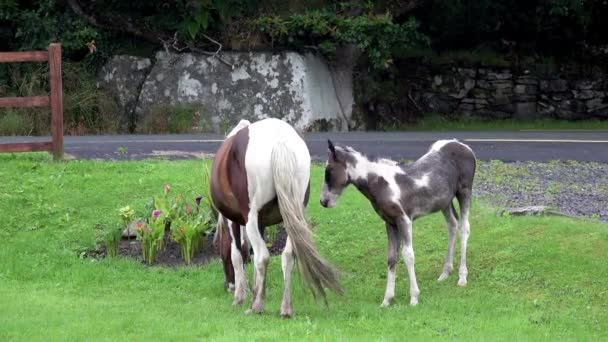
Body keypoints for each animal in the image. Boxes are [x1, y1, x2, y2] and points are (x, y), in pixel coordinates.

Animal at [210, 119, 342, 316]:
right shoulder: (261, 223)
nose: (228, 285)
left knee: (263, 256)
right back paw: (285, 308)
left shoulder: (234, 221)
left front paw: (240, 297)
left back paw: (257, 307)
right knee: (287, 256)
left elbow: (237, 255)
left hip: (252, 218)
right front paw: (254, 292)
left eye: (218, 249)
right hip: (293, 217)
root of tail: (280, 142)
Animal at [318, 139, 476, 308]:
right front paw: (387, 300)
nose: (323, 201)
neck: (382, 184)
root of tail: (463, 146)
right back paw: (445, 273)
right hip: (445, 202)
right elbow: (392, 257)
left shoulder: (404, 220)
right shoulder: (390, 223)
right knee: (452, 225)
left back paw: (462, 277)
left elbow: (408, 255)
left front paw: (414, 298)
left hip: (464, 192)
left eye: (329, 171)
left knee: (464, 228)